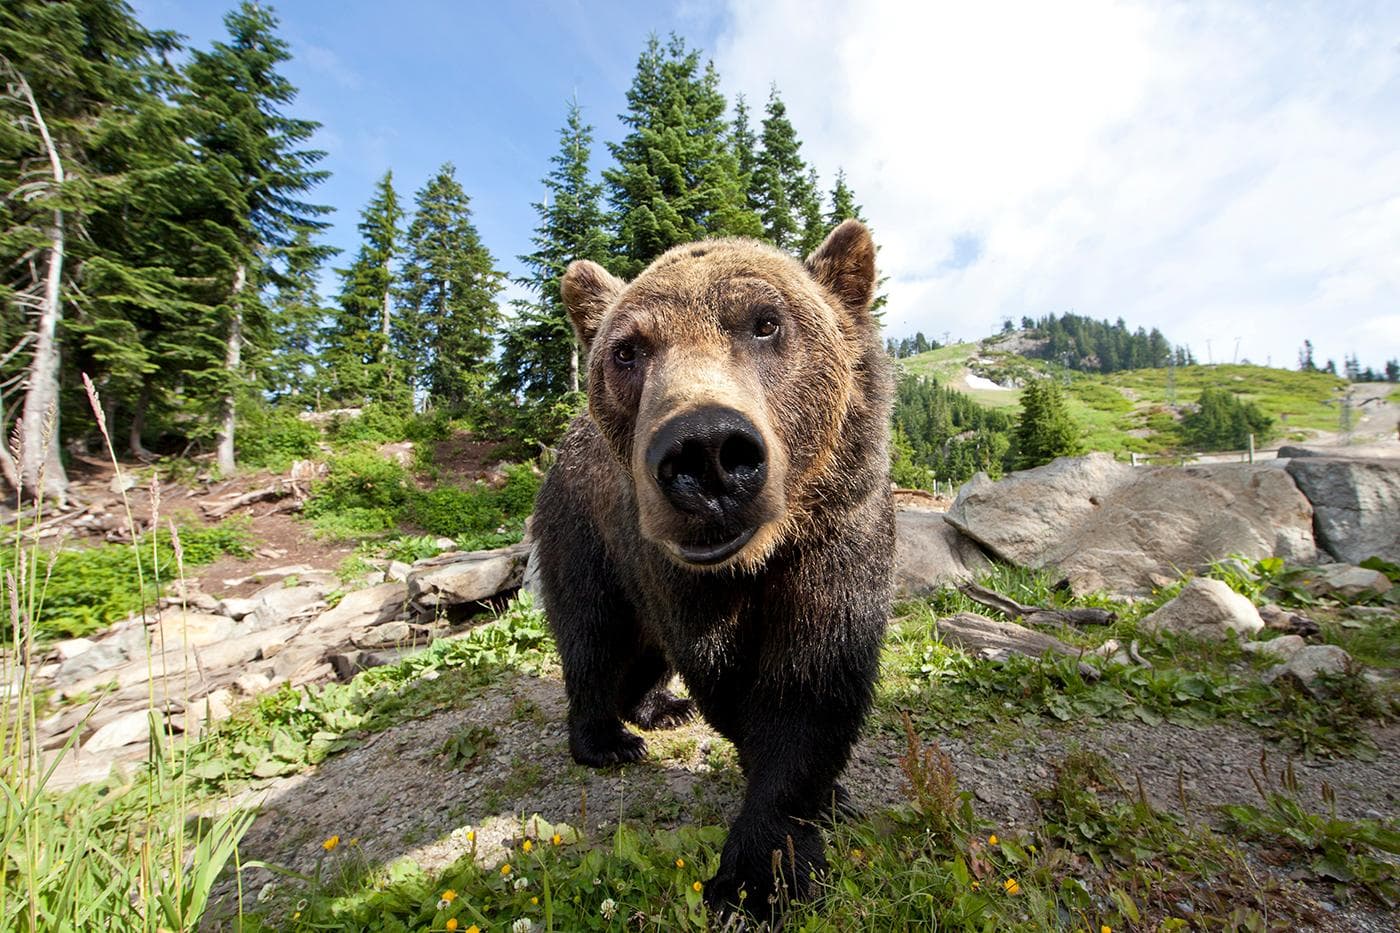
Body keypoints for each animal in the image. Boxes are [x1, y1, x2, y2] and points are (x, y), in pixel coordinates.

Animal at [529, 219, 890, 913]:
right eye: (627, 351)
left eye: (766, 322)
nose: (707, 452)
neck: (761, 556)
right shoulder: (674, 570)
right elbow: (725, 673)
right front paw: (756, 878)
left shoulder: (839, 538)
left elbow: (813, 680)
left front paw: (790, 837)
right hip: (584, 535)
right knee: (593, 634)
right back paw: (606, 738)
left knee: (640, 650)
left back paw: (659, 707)